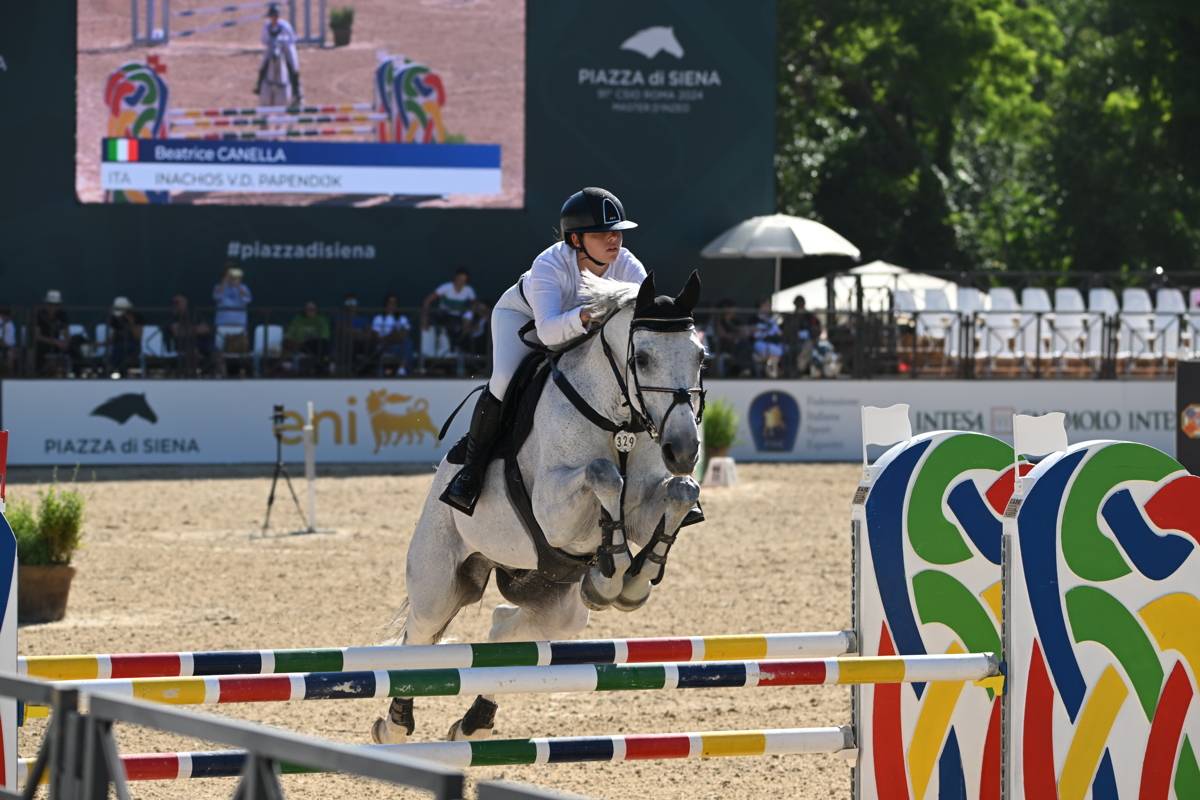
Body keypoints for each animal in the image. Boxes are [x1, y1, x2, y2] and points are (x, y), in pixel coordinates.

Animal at [372, 271, 706, 744]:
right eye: (641, 358)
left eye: (700, 356)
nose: (683, 449)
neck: (617, 420)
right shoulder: (554, 513)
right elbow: (605, 474)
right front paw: (616, 570)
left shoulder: (644, 507)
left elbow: (681, 492)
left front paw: (631, 579)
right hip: (438, 582)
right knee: (419, 639)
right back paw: (396, 725)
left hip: (553, 601)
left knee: (505, 629)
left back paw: (474, 723)